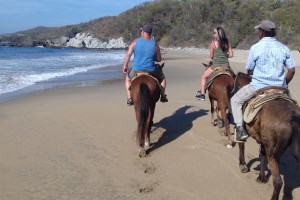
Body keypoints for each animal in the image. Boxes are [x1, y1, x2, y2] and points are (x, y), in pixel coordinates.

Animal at [234, 72, 300, 200]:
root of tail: (293, 116)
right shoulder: (264, 142)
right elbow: (262, 155)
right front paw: (261, 177)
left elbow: (241, 145)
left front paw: (242, 164)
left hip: (273, 154)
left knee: (278, 182)